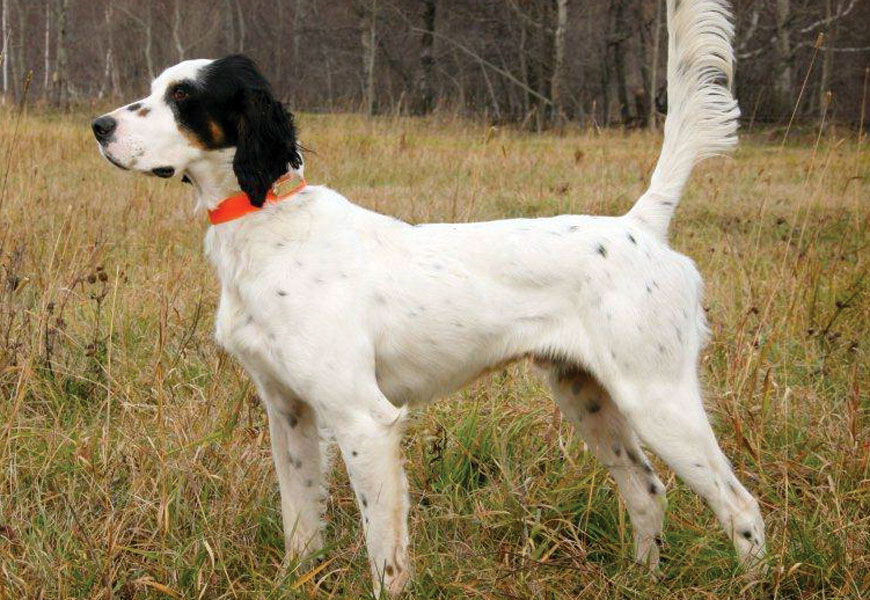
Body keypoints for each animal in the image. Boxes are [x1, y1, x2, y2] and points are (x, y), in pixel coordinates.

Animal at [92, 0, 768, 596]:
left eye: (184, 97)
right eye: (156, 88)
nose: (99, 127)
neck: (269, 225)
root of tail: (640, 225)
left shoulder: (365, 419)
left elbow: (383, 550)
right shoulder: (289, 413)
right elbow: (301, 525)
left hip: (658, 398)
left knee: (742, 506)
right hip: (588, 395)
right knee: (645, 490)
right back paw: (643, 578)